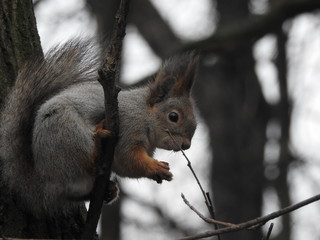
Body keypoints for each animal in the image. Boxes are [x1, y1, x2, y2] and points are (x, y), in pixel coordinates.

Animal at [0, 39, 199, 216]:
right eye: (173, 117)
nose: (187, 145)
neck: (145, 114)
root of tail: (45, 183)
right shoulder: (129, 125)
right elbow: (128, 157)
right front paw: (155, 167)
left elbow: (125, 167)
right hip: (66, 131)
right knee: (88, 162)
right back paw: (98, 144)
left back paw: (109, 190)